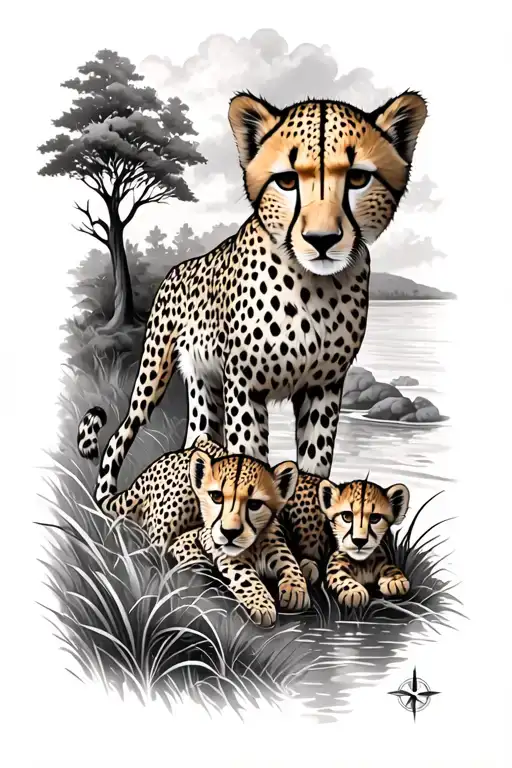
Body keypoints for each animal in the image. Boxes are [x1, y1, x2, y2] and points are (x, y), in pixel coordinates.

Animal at [89, 89, 427, 512]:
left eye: (358, 178)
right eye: (286, 180)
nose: (322, 240)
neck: (316, 290)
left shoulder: (324, 387)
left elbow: (314, 465)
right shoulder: (244, 386)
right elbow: (248, 459)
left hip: (203, 384)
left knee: (198, 438)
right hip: (154, 372)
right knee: (125, 431)